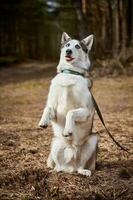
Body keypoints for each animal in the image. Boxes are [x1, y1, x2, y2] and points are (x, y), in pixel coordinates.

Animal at [38, 32, 97, 176]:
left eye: (78, 46)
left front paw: (68, 129)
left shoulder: (87, 111)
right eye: (67, 45)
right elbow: (47, 109)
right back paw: (55, 171)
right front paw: (43, 121)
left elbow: (71, 112)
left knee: (80, 166)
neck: (70, 73)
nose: (68, 51)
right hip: (55, 143)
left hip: (93, 140)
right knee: (59, 166)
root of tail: (71, 165)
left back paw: (84, 171)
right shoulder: (55, 111)